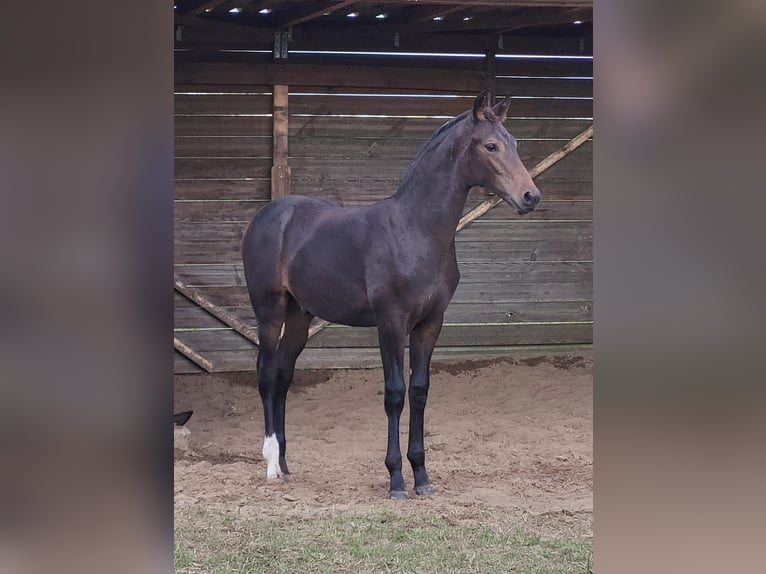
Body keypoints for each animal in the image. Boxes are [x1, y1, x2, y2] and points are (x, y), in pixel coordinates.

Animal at [243, 93, 544, 500]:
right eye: (491, 145)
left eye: (515, 143)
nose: (530, 196)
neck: (415, 230)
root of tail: (268, 215)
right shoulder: (390, 322)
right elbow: (395, 393)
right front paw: (397, 479)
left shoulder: (430, 324)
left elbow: (419, 391)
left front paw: (422, 477)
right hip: (269, 311)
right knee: (265, 374)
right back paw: (272, 463)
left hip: (299, 317)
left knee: (283, 376)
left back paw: (287, 465)